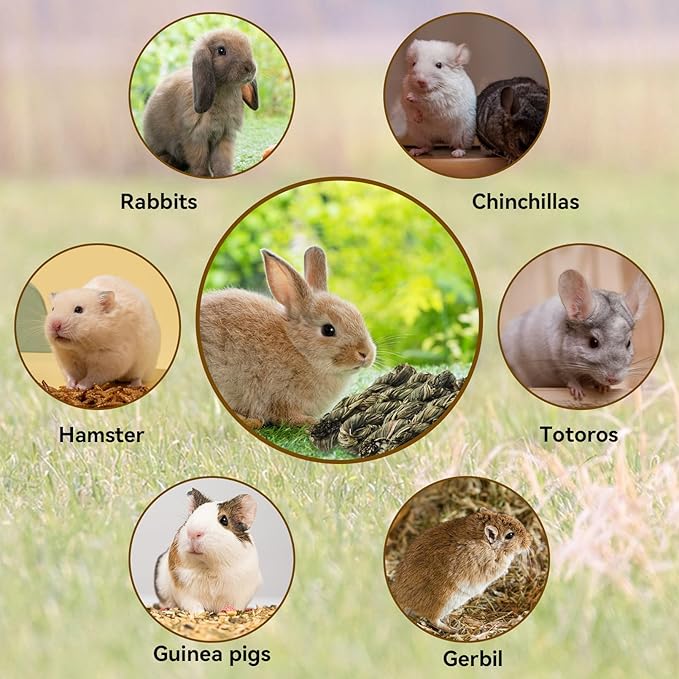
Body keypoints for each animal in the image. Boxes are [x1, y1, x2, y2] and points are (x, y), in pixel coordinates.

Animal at [142, 28, 259, 177]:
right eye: (221, 50)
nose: (250, 68)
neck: (225, 89)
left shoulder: (224, 136)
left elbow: (222, 160)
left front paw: (224, 174)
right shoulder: (196, 137)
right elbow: (199, 160)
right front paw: (203, 176)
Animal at [199, 246, 376, 429]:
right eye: (328, 330)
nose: (366, 353)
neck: (300, 349)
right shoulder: (278, 394)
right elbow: (286, 416)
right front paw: (310, 421)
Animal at [391, 508, 531, 633]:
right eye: (510, 535)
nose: (529, 540)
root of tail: (401, 599)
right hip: (443, 602)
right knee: (433, 620)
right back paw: (453, 629)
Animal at [501, 269, 651, 400]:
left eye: (628, 343)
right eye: (593, 342)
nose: (612, 379)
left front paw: (603, 388)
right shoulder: (558, 362)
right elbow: (568, 377)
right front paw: (578, 393)